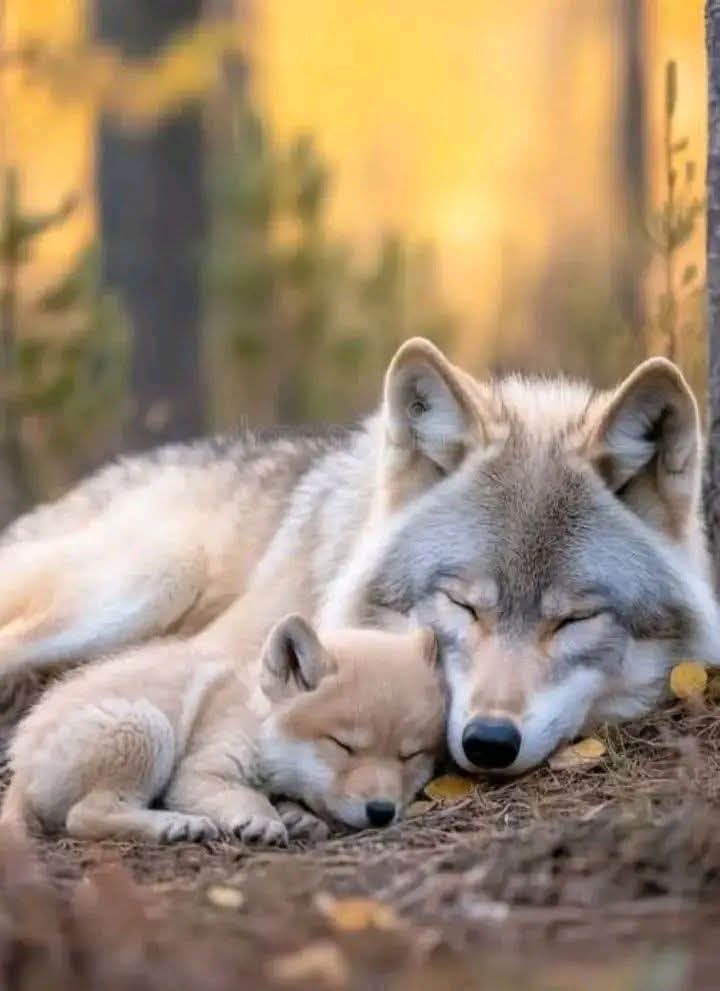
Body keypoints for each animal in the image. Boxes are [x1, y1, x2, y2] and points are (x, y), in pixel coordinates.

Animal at [1, 618, 443, 841]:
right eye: (343, 745)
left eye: (410, 755)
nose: (382, 812)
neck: (259, 720)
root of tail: (20, 772)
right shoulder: (199, 773)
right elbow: (248, 797)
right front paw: (263, 821)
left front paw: (297, 817)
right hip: (146, 726)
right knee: (85, 816)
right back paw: (173, 825)